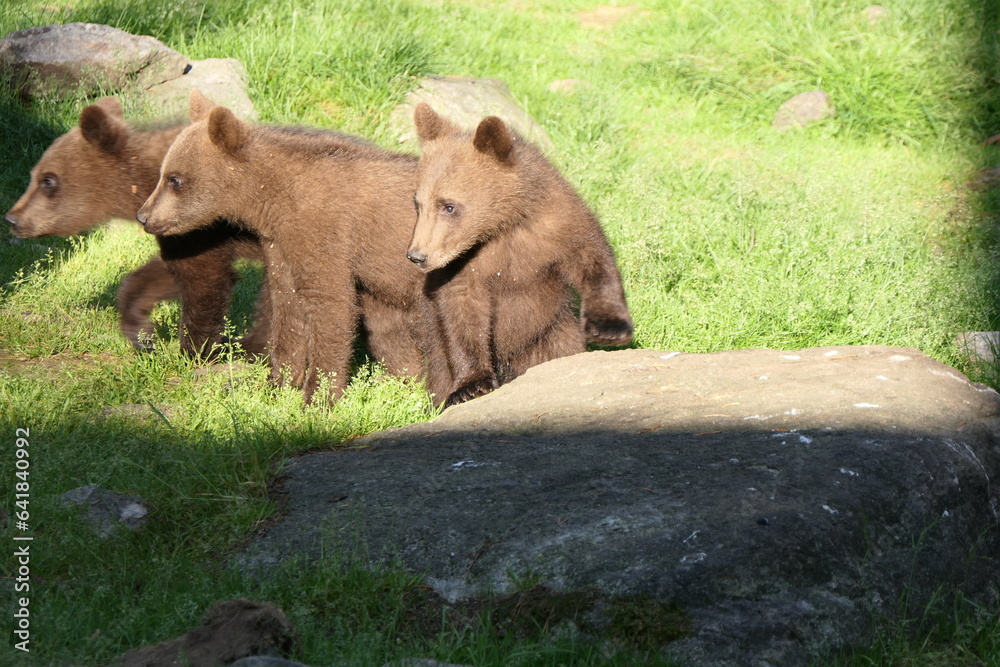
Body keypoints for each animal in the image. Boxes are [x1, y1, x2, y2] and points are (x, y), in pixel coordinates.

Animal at [3, 96, 269, 358]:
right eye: (34, 174)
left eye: (48, 180)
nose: (12, 218)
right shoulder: (171, 226)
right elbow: (158, 274)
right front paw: (143, 336)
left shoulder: (194, 222)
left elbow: (204, 275)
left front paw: (196, 349)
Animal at [136, 90, 427, 404]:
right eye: (163, 173)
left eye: (174, 179)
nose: (144, 216)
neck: (273, 199)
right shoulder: (280, 244)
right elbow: (287, 305)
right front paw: (278, 383)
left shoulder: (322, 233)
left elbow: (329, 302)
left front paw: (318, 396)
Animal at [408, 103, 634, 407]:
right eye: (417, 203)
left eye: (449, 206)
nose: (417, 255)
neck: (505, 223)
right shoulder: (466, 265)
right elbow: (462, 311)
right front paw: (471, 385)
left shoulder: (556, 225)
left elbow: (593, 257)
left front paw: (610, 327)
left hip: (550, 334)